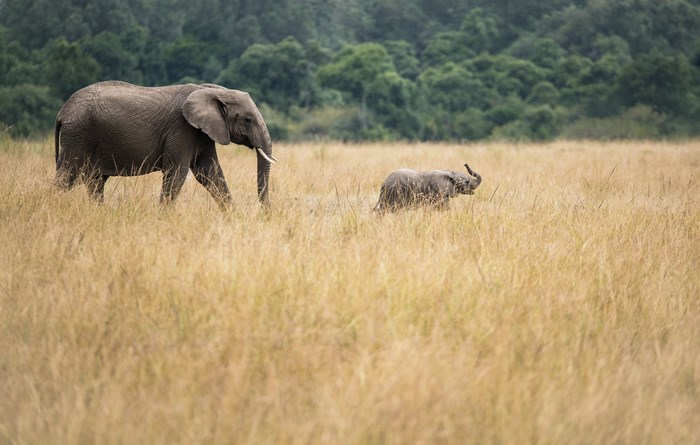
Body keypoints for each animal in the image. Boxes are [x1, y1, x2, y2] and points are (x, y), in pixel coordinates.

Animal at [54, 80, 276, 208]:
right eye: (247, 119)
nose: (265, 213)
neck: (213, 90)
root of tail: (62, 111)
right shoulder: (182, 129)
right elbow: (177, 172)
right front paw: (162, 217)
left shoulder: (202, 132)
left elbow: (209, 173)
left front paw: (232, 217)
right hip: (78, 136)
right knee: (66, 177)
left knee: (95, 181)